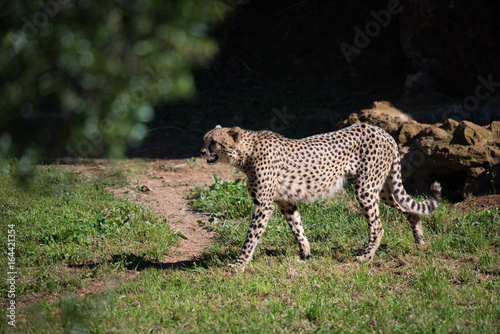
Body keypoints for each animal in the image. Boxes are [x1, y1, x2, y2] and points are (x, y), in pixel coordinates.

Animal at [200, 124, 442, 270]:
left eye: (213, 142)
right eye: (204, 140)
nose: (202, 152)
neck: (246, 154)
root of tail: (382, 131)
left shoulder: (263, 205)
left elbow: (251, 236)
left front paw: (239, 264)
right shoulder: (286, 202)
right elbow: (298, 228)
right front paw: (305, 255)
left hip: (365, 189)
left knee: (378, 226)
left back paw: (366, 256)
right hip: (379, 190)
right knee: (409, 210)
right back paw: (420, 242)